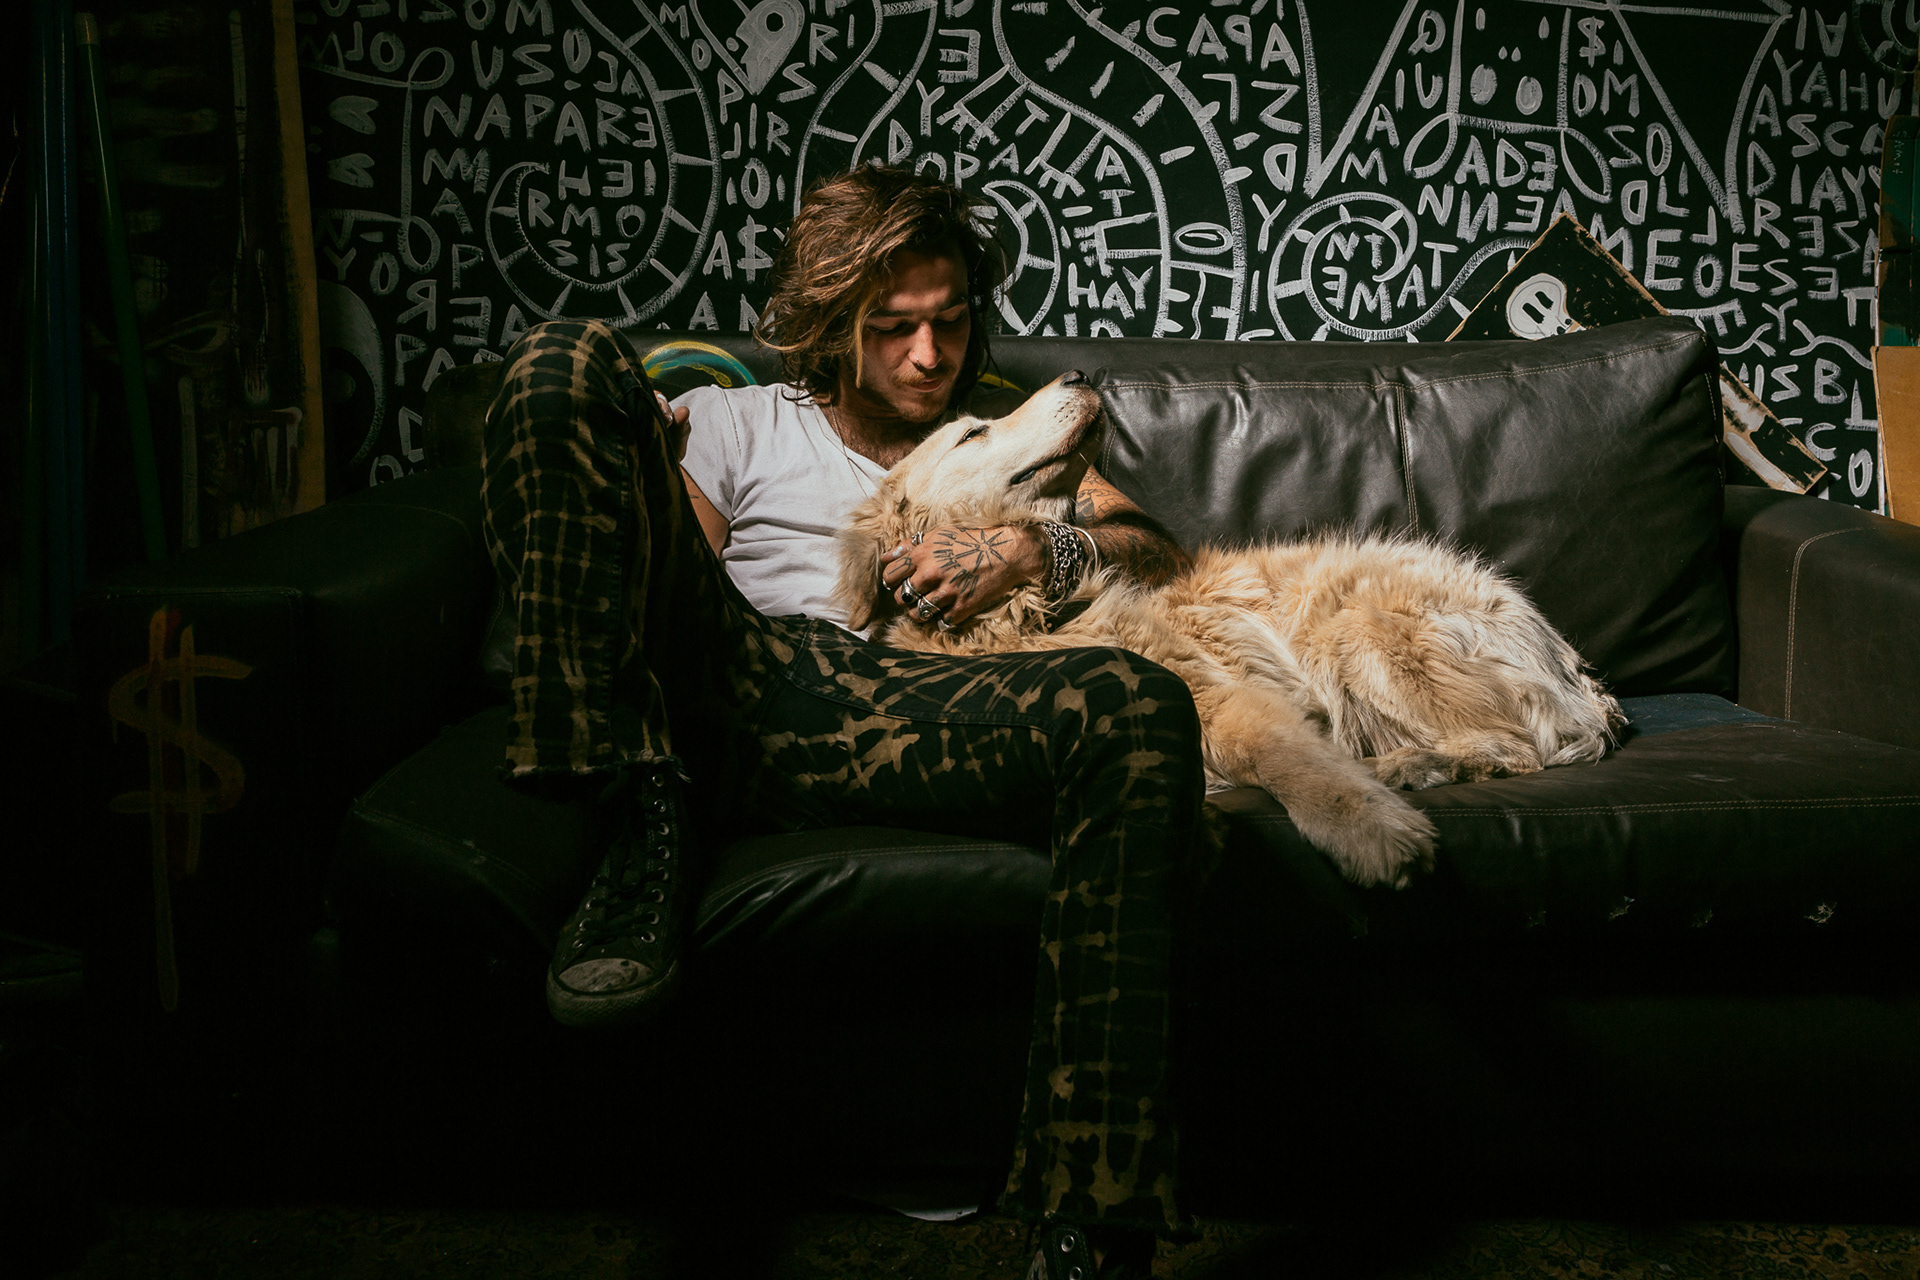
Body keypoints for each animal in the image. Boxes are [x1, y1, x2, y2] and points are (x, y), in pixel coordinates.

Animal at [831, 373, 1624, 888]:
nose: (1080, 374)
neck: (1021, 614)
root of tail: (1579, 673)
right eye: (973, 432)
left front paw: (1372, 831)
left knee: (1518, 745)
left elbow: (1290, 763)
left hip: (1352, 628)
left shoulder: (1228, 698)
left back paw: (1409, 767)